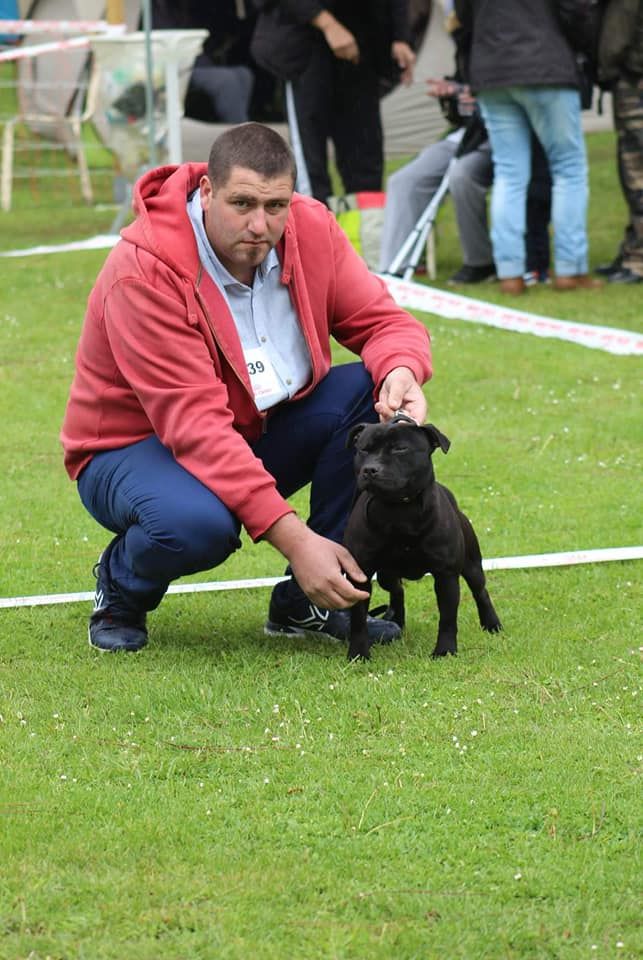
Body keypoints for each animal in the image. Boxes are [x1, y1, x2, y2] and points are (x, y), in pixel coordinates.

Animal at [342, 416, 504, 664]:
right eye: (363, 450)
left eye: (400, 449)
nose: (370, 469)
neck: (399, 510)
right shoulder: (360, 574)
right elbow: (358, 618)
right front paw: (359, 653)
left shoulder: (446, 575)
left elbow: (447, 618)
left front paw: (445, 650)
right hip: (386, 574)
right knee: (397, 590)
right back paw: (396, 620)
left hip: (472, 564)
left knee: (480, 591)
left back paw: (491, 624)